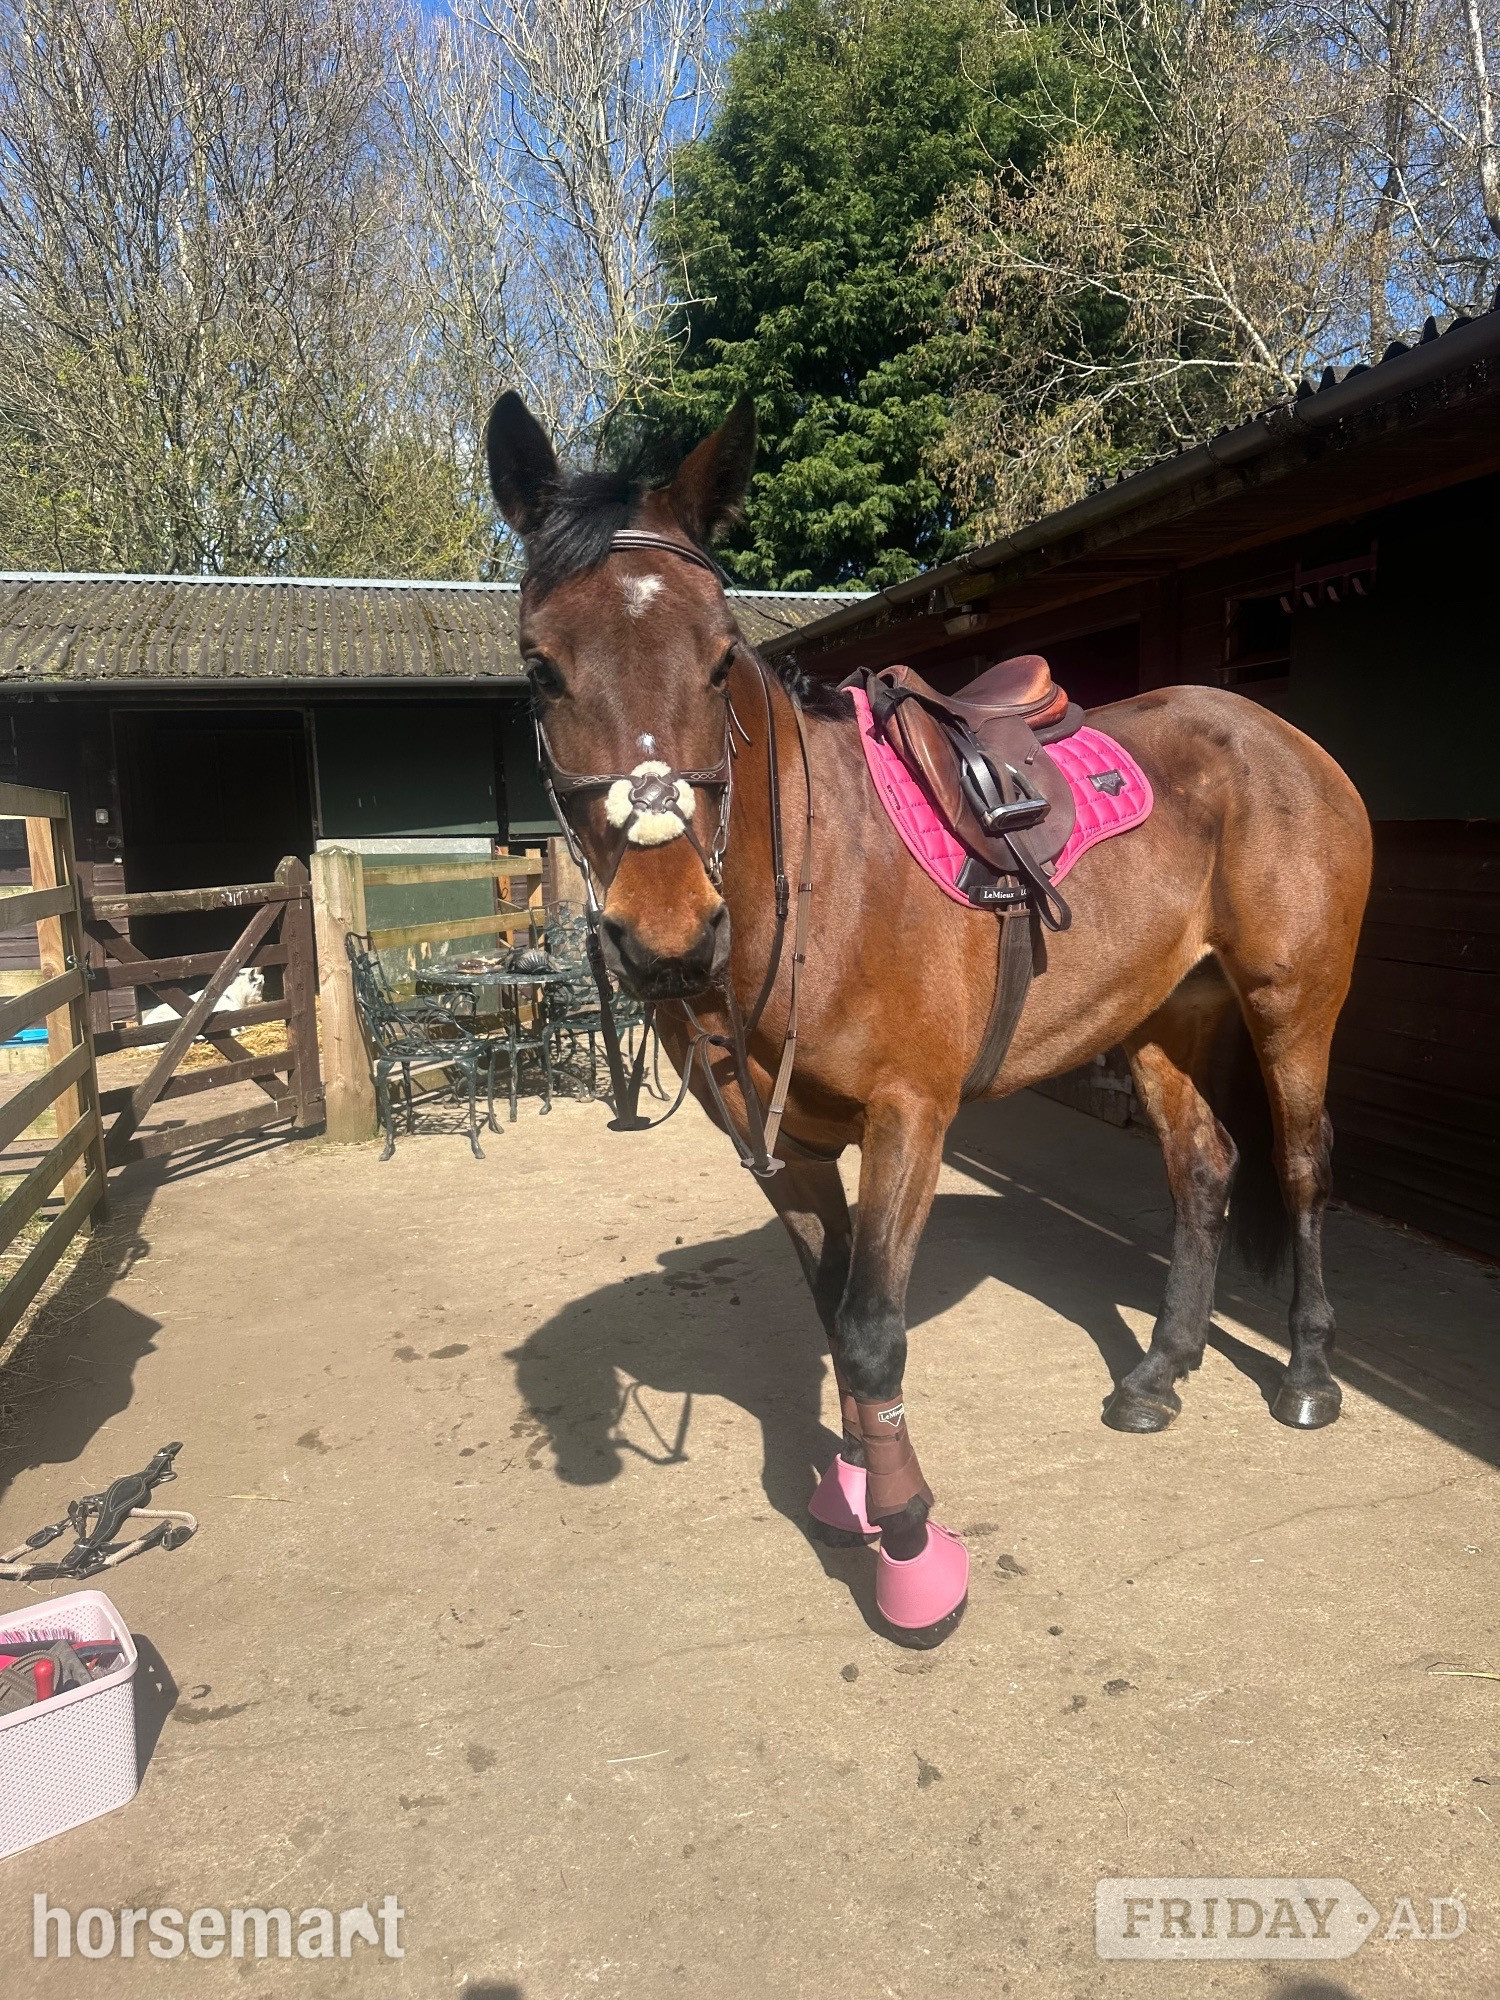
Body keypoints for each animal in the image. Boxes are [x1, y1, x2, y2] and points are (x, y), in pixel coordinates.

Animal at [484, 390, 1374, 1648]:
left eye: (719, 659)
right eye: (540, 664)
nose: (666, 935)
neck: (818, 887)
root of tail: (1281, 736)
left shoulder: (911, 1117)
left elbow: (872, 1329)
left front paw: (908, 1544)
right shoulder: (785, 1146)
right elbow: (835, 1314)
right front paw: (854, 1490)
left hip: (1294, 1002)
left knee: (1300, 1165)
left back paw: (1304, 1372)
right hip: (1165, 1013)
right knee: (1204, 1168)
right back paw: (1161, 1371)